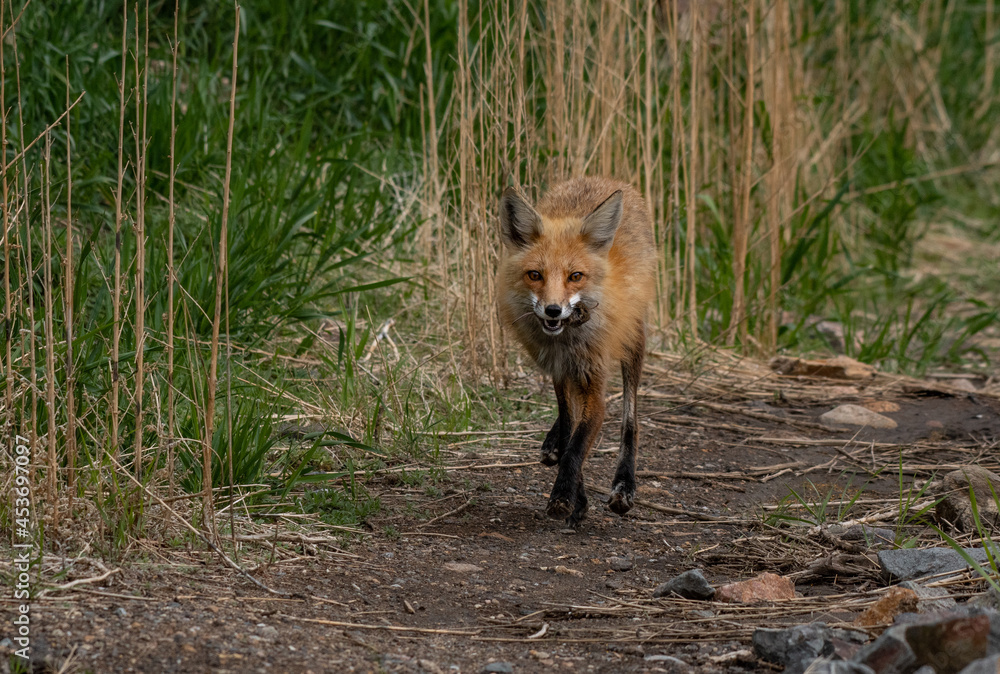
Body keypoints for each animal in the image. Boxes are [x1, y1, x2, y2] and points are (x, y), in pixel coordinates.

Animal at [497, 176, 657, 528]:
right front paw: (577, 498)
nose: (553, 310)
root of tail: (606, 179)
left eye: (575, 276)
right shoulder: (559, 370)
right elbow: (570, 430)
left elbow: (578, 444)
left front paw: (563, 497)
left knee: (631, 418)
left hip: (634, 340)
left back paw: (624, 484)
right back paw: (552, 444)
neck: (567, 342)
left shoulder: (593, 384)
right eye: (535, 275)